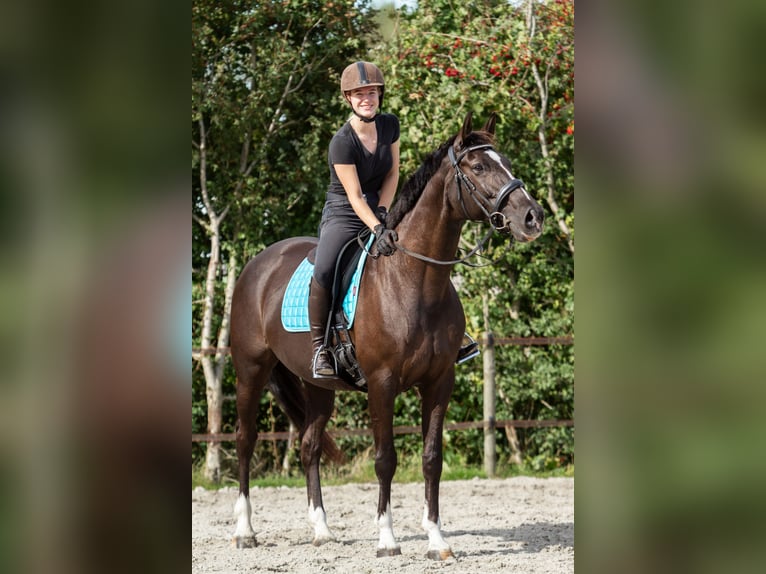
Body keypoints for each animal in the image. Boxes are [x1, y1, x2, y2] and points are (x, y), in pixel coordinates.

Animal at [230, 112, 544, 564]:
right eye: (479, 166)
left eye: (507, 162)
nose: (533, 218)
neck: (416, 282)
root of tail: (258, 264)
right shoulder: (382, 383)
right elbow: (385, 459)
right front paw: (387, 539)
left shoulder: (439, 382)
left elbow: (432, 458)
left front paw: (437, 540)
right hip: (250, 370)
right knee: (245, 439)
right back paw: (244, 531)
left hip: (317, 384)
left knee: (309, 445)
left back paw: (322, 531)